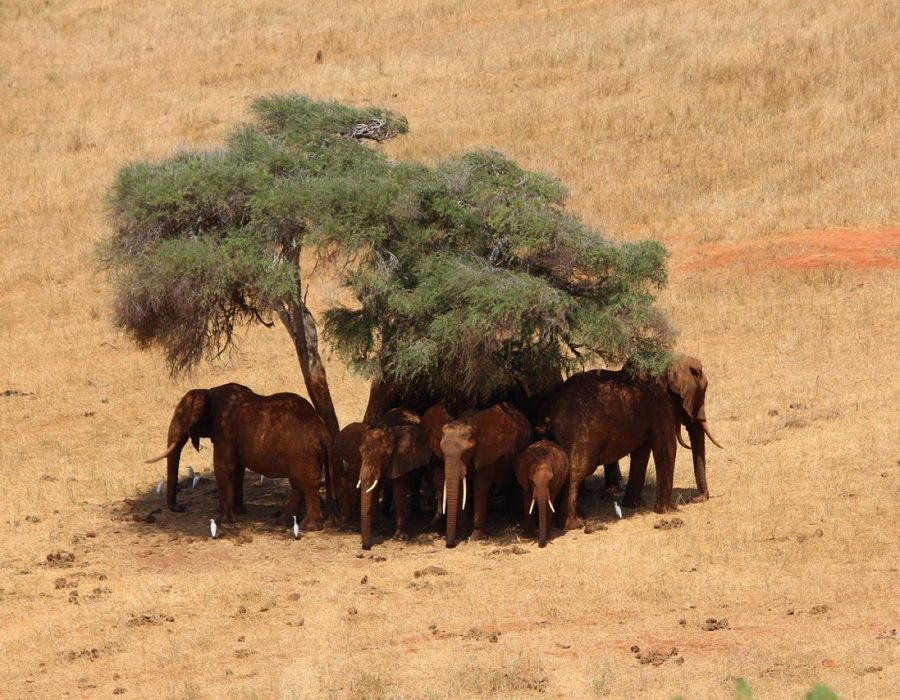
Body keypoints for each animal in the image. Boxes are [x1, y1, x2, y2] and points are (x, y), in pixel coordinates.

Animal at [146, 383, 333, 529]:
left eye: (179, 416)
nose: (181, 507)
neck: (208, 391)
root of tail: (323, 431)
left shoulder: (224, 431)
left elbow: (223, 466)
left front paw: (224, 521)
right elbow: (237, 469)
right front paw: (239, 512)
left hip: (302, 453)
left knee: (305, 484)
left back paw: (309, 527)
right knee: (298, 484)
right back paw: (282, 522)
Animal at [358, 420, 432, 550]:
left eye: (384, 456)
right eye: (360, 453)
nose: (366, 547)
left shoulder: (401, 460)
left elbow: (399, 491)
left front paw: (400, 539)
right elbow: (374, 491)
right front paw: (375, 534)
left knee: (415, 483)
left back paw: (417, 515)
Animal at [439, 402, 532, 548]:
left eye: (467, 452)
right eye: (442, 452)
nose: (450, 545)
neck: (472, 425)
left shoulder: (488, 453)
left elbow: (480, 488)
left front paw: (475, 537)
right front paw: (463, 534)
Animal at [542, 355, 722, 529]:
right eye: (702, 392)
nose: (694, 499)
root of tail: (553, 409)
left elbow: (641, 453)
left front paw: (634, 506)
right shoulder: (661, 404)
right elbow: (666, 447)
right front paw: (667, 510)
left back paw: (573, 519)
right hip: (581, 433)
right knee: (577, 471)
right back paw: (573, 525)